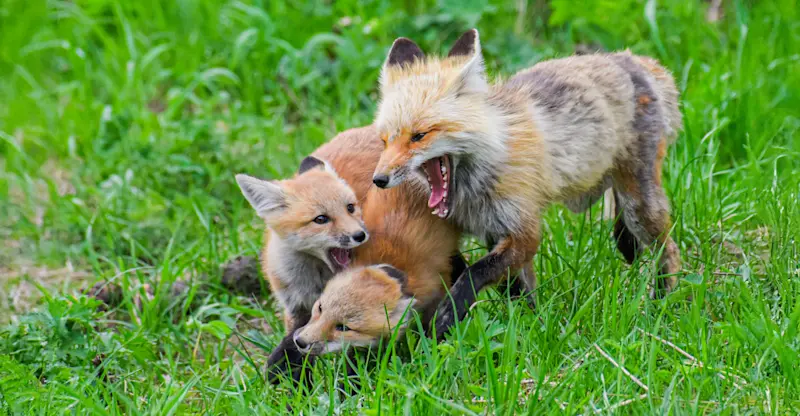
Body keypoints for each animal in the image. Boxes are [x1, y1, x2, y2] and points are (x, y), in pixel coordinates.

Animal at [370, 29, 683, 339]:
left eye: (419, 136)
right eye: (385, 140)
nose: (379, 180)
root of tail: (633, 59)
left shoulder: (523, 228)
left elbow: (475, 272)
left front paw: (450, 314)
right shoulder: (493, 230)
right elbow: (516, 290)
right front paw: (531, 324)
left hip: (639, 207)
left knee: (669, 251)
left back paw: (660, 303)